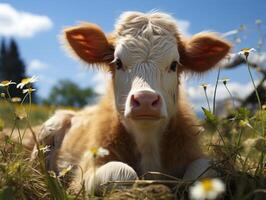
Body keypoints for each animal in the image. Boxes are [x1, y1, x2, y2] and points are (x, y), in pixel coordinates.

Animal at [34, 11, 231, 194]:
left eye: (174, 64)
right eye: (118, 63)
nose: (145, 99)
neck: (148, 143)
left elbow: (203, 172)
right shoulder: (85, 174)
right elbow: (124, 173)